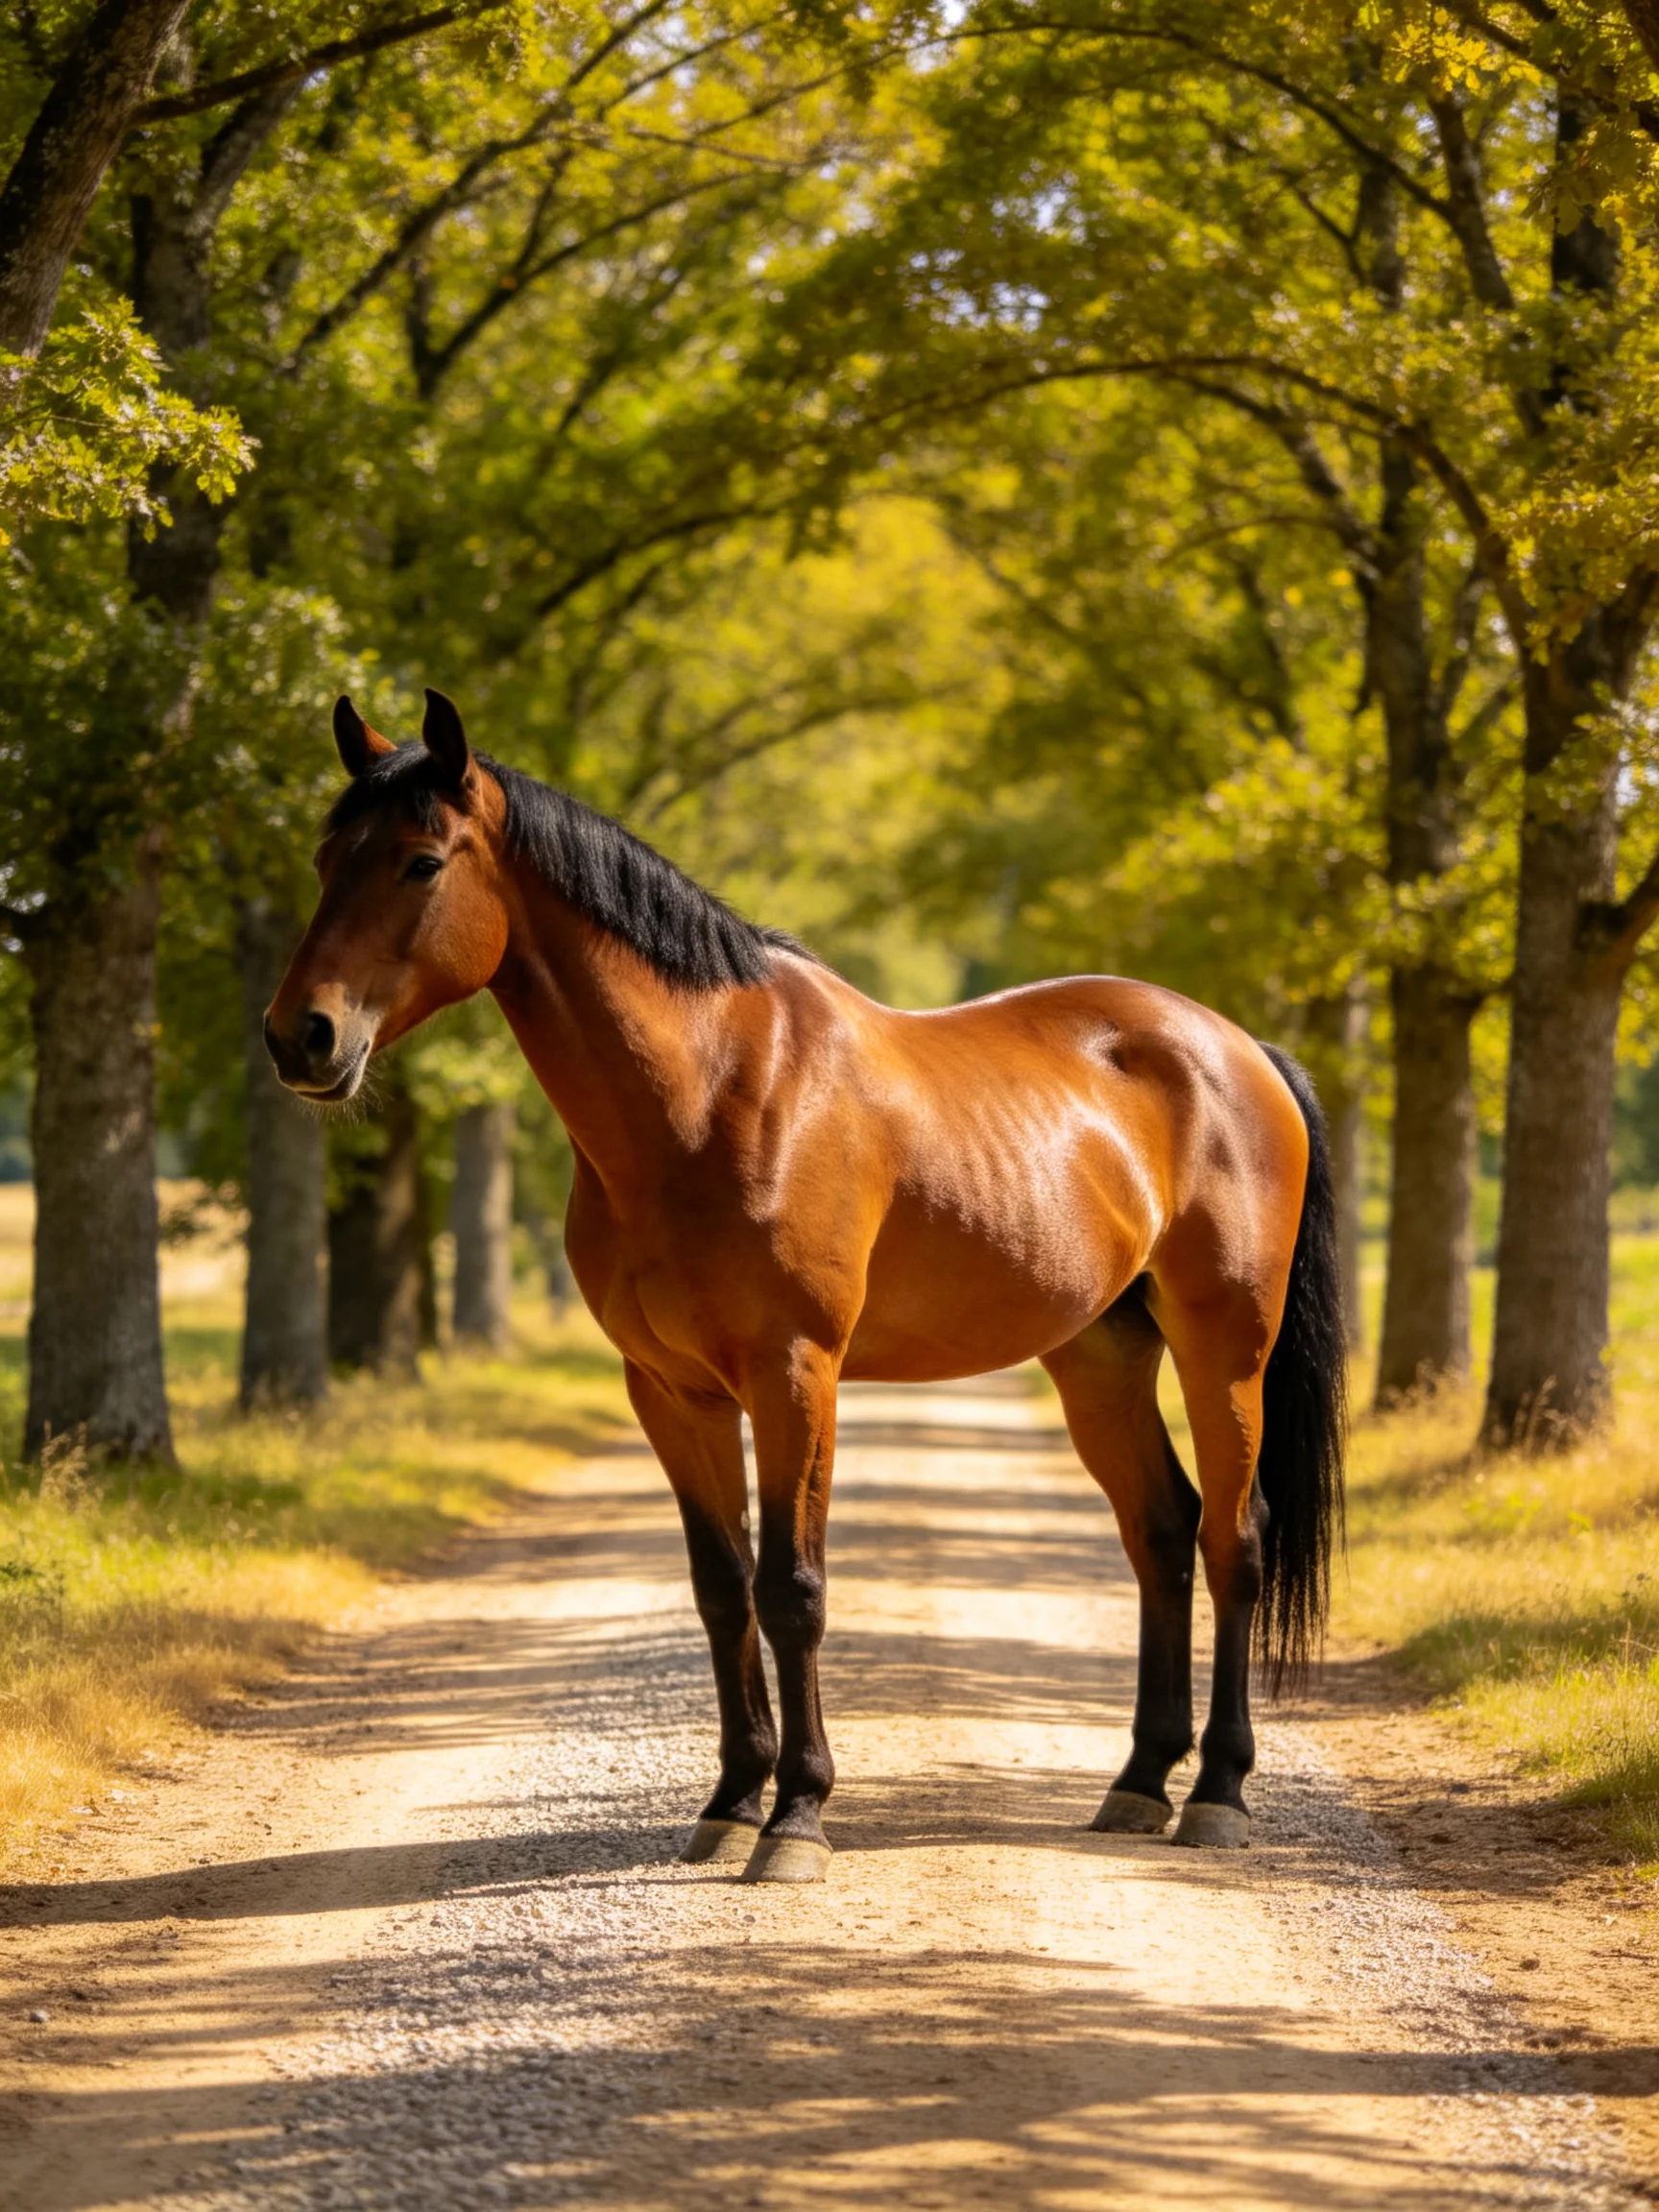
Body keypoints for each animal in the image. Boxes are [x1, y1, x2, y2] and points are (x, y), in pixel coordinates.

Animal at [265, 688, 1346, 1883]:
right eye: (325, 859)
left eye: (420, 862)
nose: (299, 1037)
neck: (712, 1095)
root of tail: (1238, 1048)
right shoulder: (672, 1392)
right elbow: (720, 1587)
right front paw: (732, 1801)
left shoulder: (795, 1378)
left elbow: (794, 1588)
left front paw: (797, 1818)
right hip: (1100, 1354)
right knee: (1160, 1531)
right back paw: (1139, 1782)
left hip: (1223, 1349)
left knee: (1234, 1541)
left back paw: (1217, 1793)